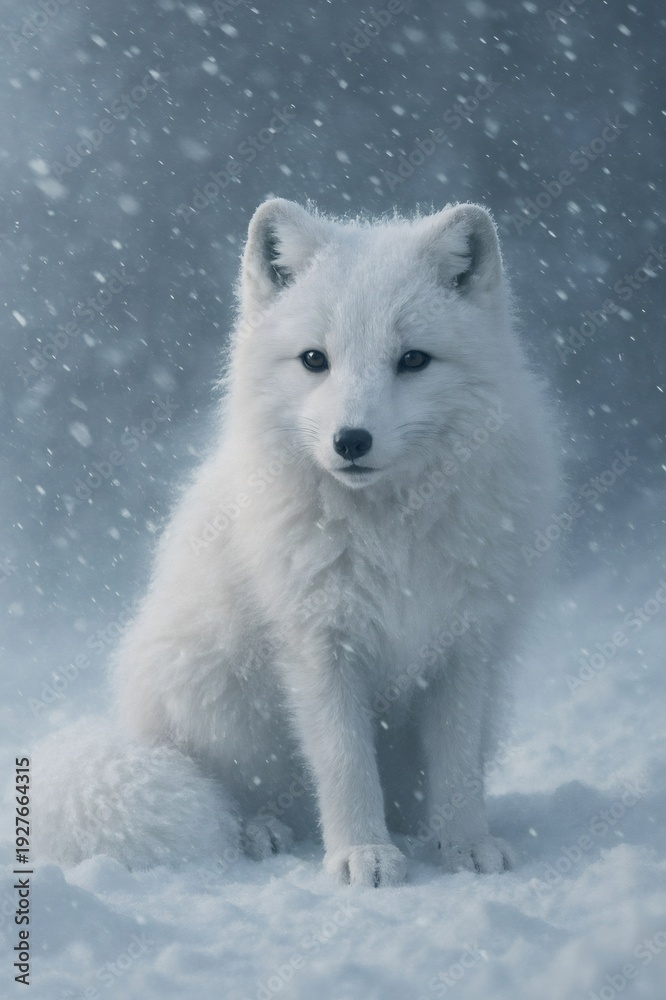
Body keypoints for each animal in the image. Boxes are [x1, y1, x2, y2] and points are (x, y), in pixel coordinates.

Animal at [34, 199, 557, 886]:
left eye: (413, 360)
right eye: (314, 359)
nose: (351, 440)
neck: (387, 531)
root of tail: (134, 727)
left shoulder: (464, 644)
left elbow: (457, 767)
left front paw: (465, 843)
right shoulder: (318, 643)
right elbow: (344, 762)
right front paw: (363, 854)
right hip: (216, 696)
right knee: (237, 794)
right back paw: (262, 830)